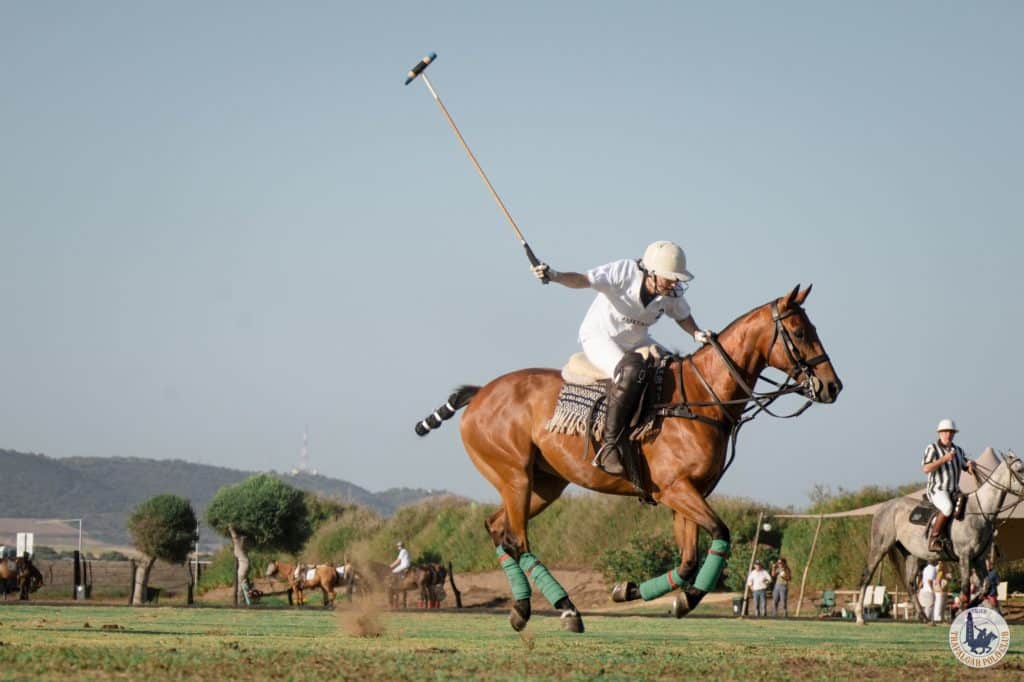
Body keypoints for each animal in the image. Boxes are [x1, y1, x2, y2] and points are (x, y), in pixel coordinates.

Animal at [415, 282, 839, 630]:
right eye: (799, 332)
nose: (832, 386)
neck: (702, 398)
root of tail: (480, 393)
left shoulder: (687, 494)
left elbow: (687, 560)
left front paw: (633, 591)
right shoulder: (676, 489)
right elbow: (720, 533)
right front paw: (684, 599)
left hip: (543, 485)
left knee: (497, 528)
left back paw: (522, 608)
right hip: (515, 475)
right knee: (517, 539)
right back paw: (567, 610)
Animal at [851, 448, 1019, 622]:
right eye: (1020, 470)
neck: (979, 512)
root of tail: (882, 507)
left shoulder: (978, 558)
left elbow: (985, 587)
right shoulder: (965, 556)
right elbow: (966, 588)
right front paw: (960, 612)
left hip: (911, 554)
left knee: (910, 583)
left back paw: (924, 617)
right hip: (880, 547)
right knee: (867, 576)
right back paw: (860, 616)